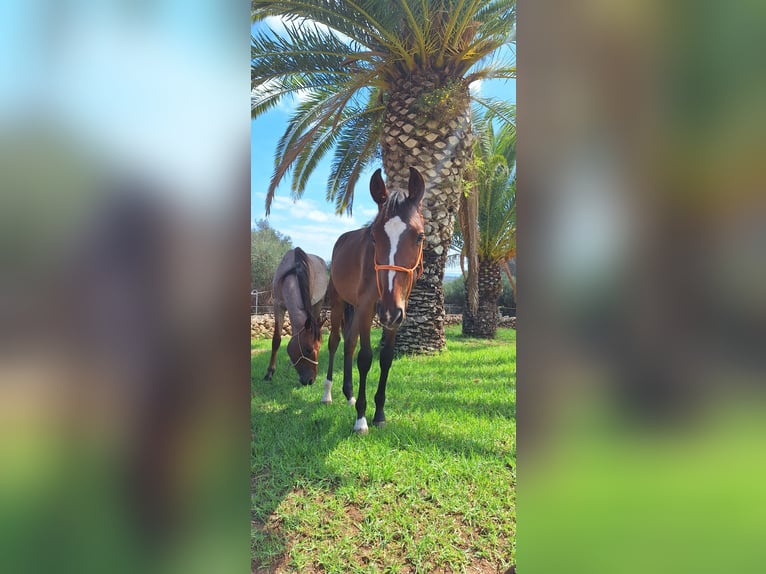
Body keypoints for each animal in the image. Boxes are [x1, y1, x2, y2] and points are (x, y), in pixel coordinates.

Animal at [264, 247, 328, 386]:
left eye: (320, 348)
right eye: (308, 349)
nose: (310, 380)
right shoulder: (278, 305)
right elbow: (276, 340)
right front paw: (269, 373)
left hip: (318, 303)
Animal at [321, 167, 425, 433]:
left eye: (419, 236)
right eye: (375, 236)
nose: (387, 310)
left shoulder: (396, 314)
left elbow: (386, 359)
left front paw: (379, 413)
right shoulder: (368, 309)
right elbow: (366, 358)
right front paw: (361, 418)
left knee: (349, 342)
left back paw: (349, 394)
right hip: (339, 304)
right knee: (335, 342)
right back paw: (327, 393)